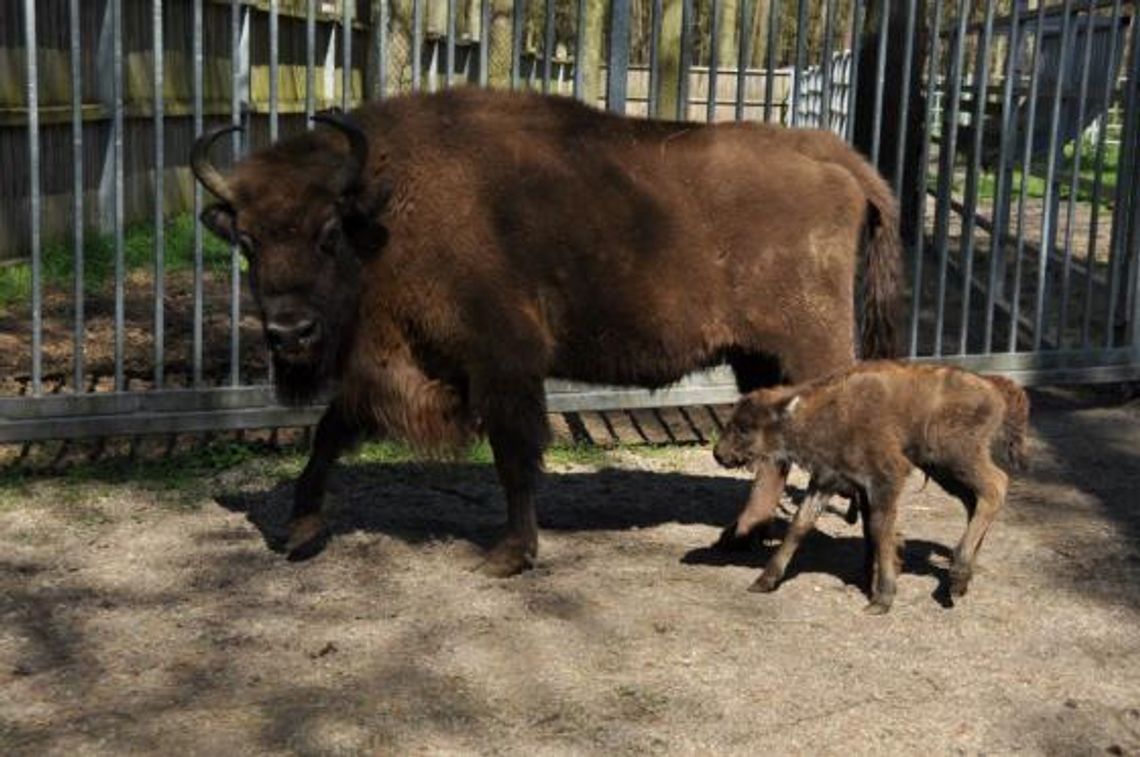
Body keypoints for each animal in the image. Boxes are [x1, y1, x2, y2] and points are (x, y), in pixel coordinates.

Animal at [191, 87, 902, 574]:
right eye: (247, 242)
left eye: (327, 233)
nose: (290, 331)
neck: (387, 206)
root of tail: (833, 156)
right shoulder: (398, 368)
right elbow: (331, 432)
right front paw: (300, 530)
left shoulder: (502, 363)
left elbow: (514, 455)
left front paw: (508, 554)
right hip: (756, 355)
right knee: (772, 443)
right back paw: (738, 537)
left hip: (809, 346)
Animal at [711, 360, 1026, 615]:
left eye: (744, 428)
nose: (719, 453)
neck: (821, 412)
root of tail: (995, 387)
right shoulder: (827, 480)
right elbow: (800, 524)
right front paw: (764, 581)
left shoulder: (885, 480)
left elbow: (879, 529)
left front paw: (881, 598)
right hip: (943, 470)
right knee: (974, 501)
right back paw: (960, 581)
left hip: (956, 456)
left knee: (995, 487)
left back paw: (958, 573)